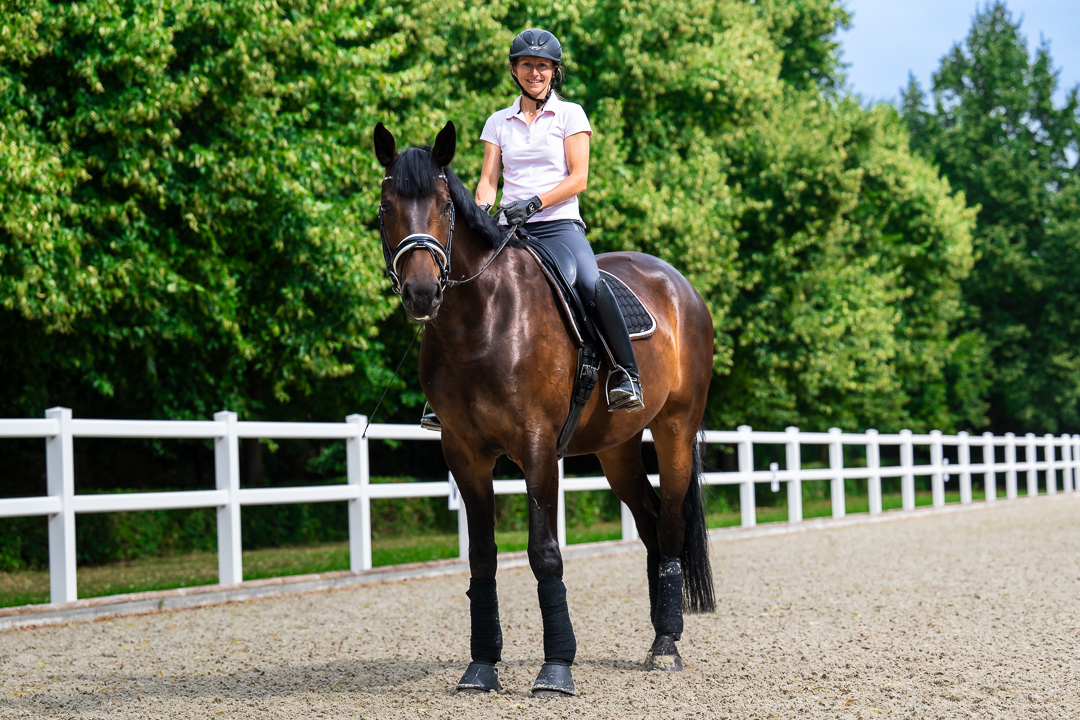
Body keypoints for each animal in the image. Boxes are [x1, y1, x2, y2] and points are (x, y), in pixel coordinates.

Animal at [373, 120, 716, 697]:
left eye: (444, 205)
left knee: (669, 526)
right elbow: (483, 556)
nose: (421, 292)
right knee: (649, 524)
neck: (483, 319)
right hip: (617, 448)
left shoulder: (537, 447)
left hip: (674, 430)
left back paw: (667, 647)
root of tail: (678, 283)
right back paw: (659, 634)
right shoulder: (463, 452)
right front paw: (481, 667)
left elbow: (544, 551)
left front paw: (556, 667)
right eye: (385, 205)